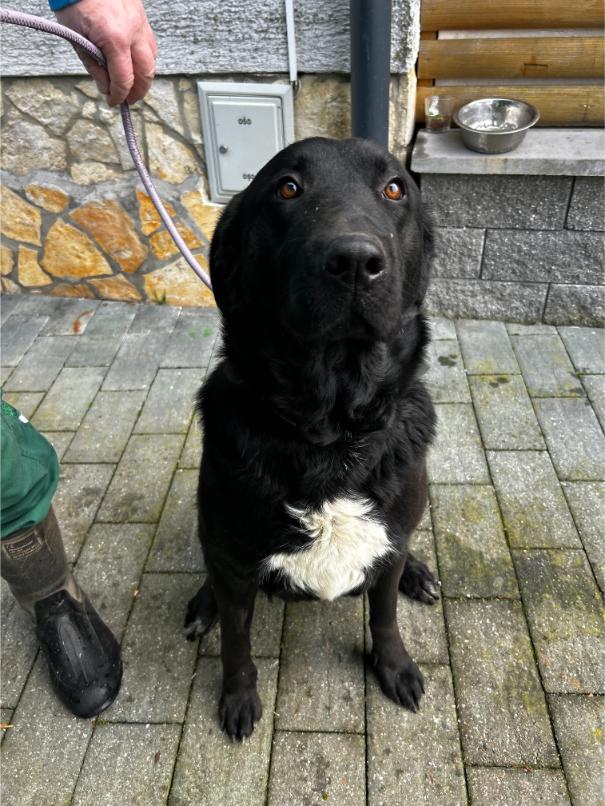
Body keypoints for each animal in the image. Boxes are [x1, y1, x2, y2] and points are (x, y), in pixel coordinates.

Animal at [185, 136, 439, 741]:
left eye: (394, 188)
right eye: (287, 188)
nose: (355, 263)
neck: (331, 435)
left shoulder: (387, 549)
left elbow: (385, 614)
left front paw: (394, 667)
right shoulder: (233, 563)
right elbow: (236, 643)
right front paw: (238, 698)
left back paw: (419, 573)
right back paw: (203, 605)